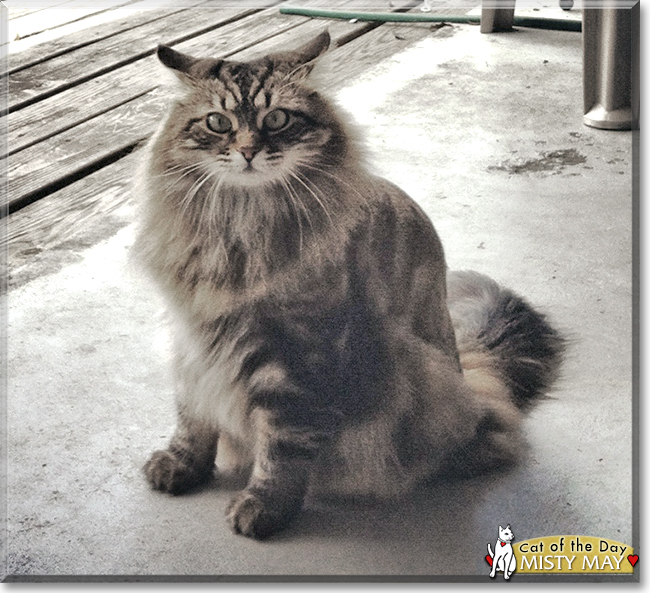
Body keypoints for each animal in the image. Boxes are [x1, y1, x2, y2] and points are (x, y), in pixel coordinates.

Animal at [133, 32, 560, 540]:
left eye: (276, 119)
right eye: (218, 123)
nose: (248, 151)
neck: (240, 225)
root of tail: (467, 380)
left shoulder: (297, 352)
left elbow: (283, 443)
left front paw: (265, 506)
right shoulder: (193, 336)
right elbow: (192, 415)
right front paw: (182, 464)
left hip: (419, 374)